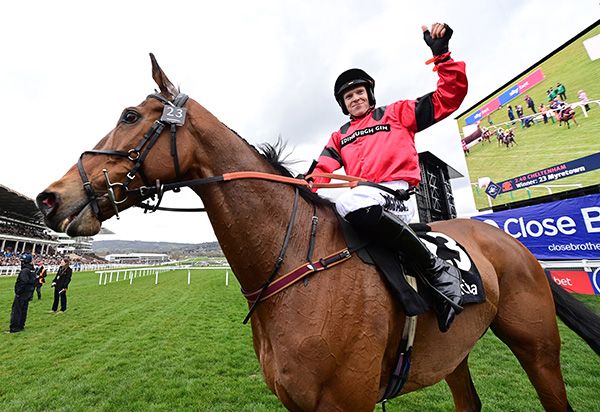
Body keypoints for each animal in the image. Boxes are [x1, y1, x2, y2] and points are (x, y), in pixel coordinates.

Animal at [36, 55, 600, 411]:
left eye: (130, 115)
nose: (49, 198)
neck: (295, 264)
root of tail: (513, 243)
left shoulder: (345, 403)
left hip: (538, 348)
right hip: (453, 353)